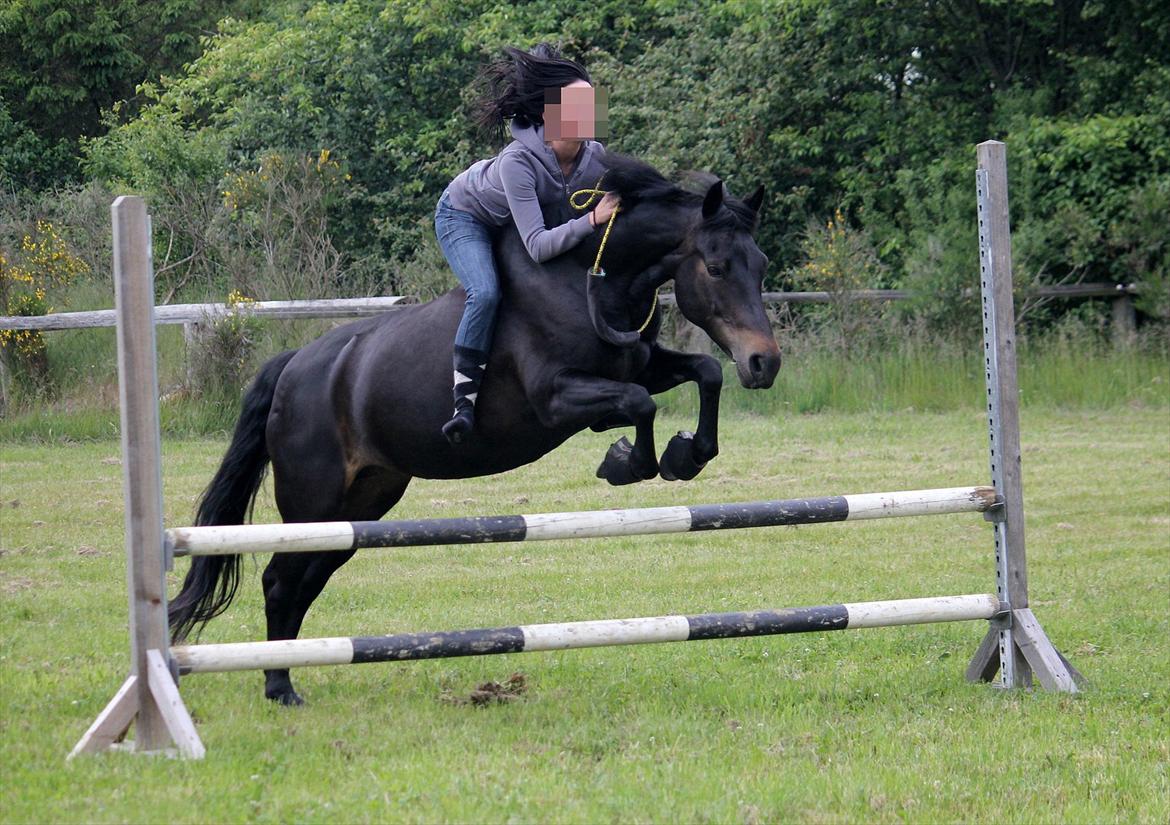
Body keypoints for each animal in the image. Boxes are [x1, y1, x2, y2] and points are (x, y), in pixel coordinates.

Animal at [169, 154, 781, 702]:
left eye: (761, 265)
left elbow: (702, 373)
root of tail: (293, 366)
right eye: (717, 268)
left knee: (304, 582)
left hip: (362, 502)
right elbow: (639, 405)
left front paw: (686, 455)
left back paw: (285, 678)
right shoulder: (556, 399)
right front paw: (625, 462)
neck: (592, 279)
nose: (764, 364)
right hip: (312, 500)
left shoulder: (641, 365)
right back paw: (278, 687)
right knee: (280, 582)